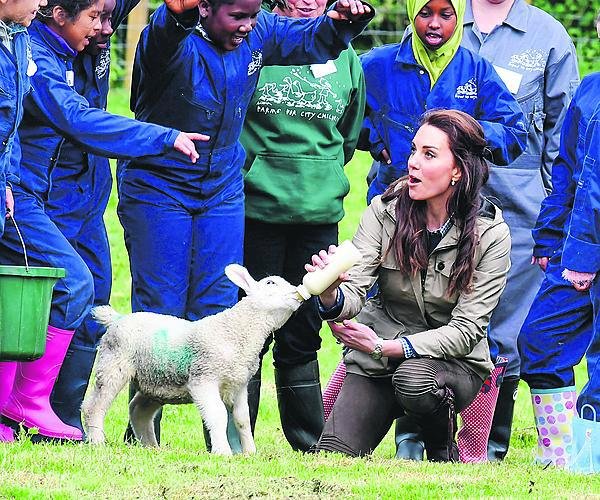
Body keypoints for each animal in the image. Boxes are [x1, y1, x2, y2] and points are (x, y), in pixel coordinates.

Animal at [82, 268, 302, 456]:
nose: (297, 292)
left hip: (157, 382)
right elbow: (218, 415)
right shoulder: (203, 379)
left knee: (138, 410)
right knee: (94, 406)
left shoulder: (239, 384)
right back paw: (97, 440)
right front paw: (223, 451)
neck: (236, 331)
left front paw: (249, 452)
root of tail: (117, 319)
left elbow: (242, 419)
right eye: (270, 283)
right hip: (113, 365)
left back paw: (151, 447)